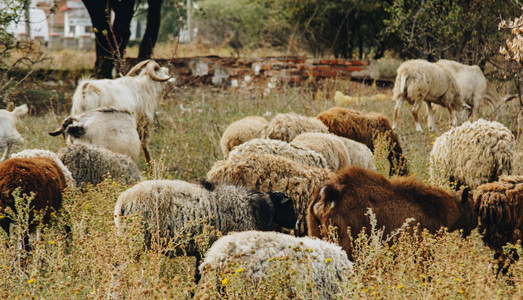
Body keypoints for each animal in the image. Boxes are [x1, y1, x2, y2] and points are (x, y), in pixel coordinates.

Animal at [113, 179, 298, 282]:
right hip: (136, 242)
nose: (296, 222)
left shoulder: (203, 250)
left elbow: (197, 273)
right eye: (289, 207)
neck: (256, 207)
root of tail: (122, 203)